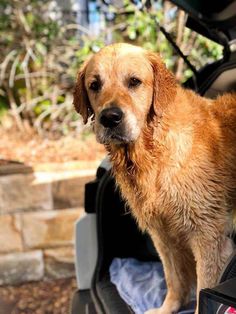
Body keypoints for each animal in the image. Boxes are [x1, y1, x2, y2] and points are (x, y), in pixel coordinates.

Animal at [73, 43, 236, 312]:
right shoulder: (163, 235)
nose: (110, 118)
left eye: (134, 81)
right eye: (94, 85)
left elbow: (202, 289)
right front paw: (168, 307)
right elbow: (174, 279)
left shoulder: (209, 237)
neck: (152, 152)